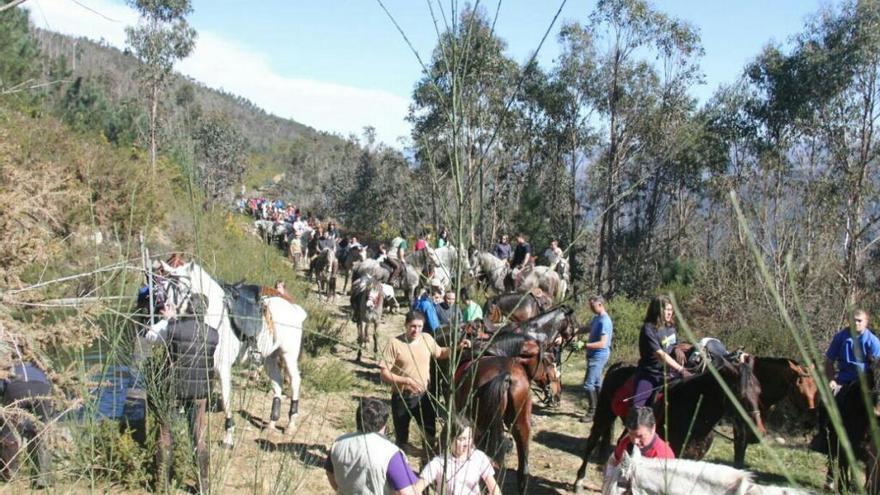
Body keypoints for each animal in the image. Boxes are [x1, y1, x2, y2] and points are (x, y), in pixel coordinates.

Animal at [156, 262, 308, 448]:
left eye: (181, 287)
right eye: (164, 283)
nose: (163, 311)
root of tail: (295, 309)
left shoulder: (222, 368)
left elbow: (226, 398)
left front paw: (228, 436)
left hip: (288, 355)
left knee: (295, 381)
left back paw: (291, 424)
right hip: (269, 358)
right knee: (277, 383)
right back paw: (272, 423)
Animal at [576, 356, 768, 488]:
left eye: (759, 392)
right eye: (740, 394)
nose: (757, 434)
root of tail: (618, 365)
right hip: (604, 413)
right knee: (592, 441)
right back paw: (579, 479)